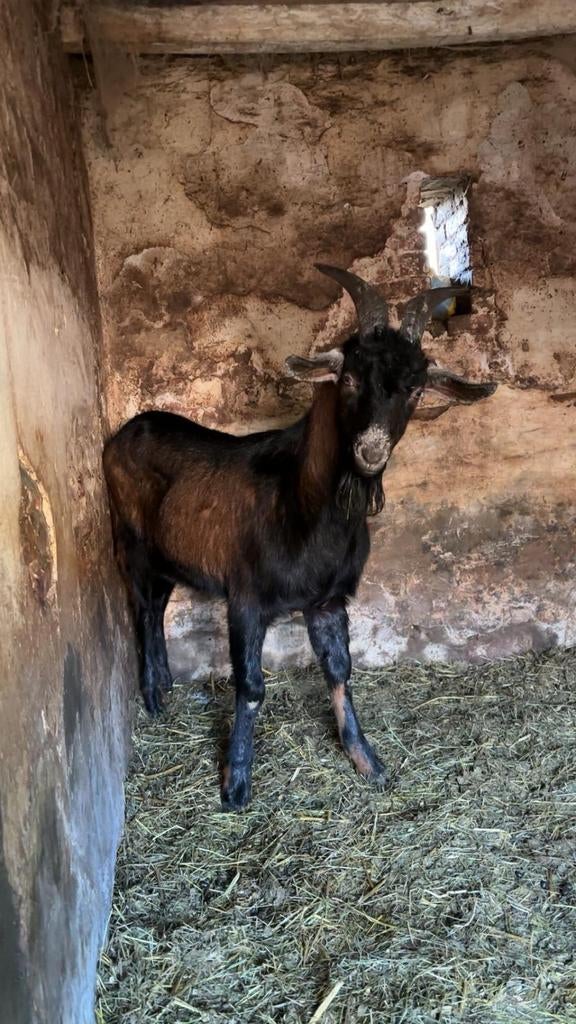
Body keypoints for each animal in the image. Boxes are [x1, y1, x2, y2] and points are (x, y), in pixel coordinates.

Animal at [103, 265, 497, 810]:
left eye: (416, 390)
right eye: (349, 378)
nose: (370, 451)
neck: (303, 503)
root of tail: (123, 433)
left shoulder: (327, 601)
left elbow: (339, 671)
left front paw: (366, 761)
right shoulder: (246, 598)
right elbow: (250, 686)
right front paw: (235, 783)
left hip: (169, 555)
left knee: (159, 605)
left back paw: (164, 682)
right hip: (132, 542)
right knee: (142, 607)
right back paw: (154, 696)